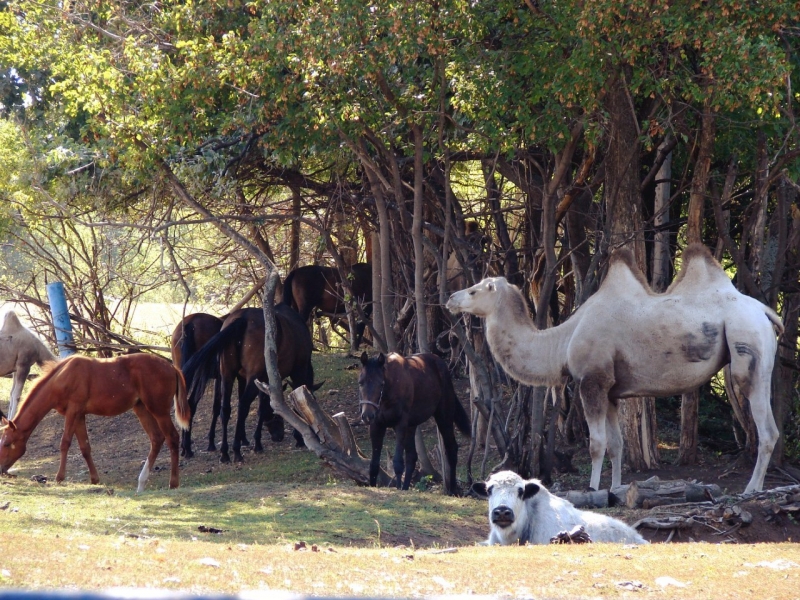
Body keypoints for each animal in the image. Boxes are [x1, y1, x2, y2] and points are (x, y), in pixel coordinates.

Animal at [0, 354, 189, 490]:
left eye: (7, 443)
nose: (1, 469)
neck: (63, 376)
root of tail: (171, 367)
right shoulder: (79, 415)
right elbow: (85, 447)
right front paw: (95, 479)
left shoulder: (73, 411)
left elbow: (65, 443)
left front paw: (59, 477)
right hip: (141, 409)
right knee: (157, 438)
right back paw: (141, 483)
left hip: (159, 411)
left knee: (172, 437)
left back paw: (173, 483)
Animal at [181, 304, 318, 464]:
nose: (279, 436)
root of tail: (243, 318)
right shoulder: (297, 372)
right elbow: (266, 408)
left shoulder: (245, 378)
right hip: (249, 377)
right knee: (242, 405)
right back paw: (235, 451)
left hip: (226, 374)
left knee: (222, 409)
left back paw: (220, 452)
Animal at [356, 350, 468, 494]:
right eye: (361, 382)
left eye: (381, 383)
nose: (367, 415)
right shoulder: (376, 426)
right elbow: (374, 464)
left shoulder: (400, 425)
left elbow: (398, 462)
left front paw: (398, 489)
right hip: (412, 426)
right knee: (412, 457)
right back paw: (406, 487)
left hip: (444, 418)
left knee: (451, 449)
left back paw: (452, 490)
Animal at [446, 244, 784, 492]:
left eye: (475, 290)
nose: (451, 298)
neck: (563, 340)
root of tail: (766, 312)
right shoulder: (610, 390)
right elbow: (617, 445)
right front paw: (615, 489)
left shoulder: (592, 380)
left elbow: (597, 444)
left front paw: (593, 489)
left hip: (746, 341)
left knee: (766, 428)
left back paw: (751, 489)